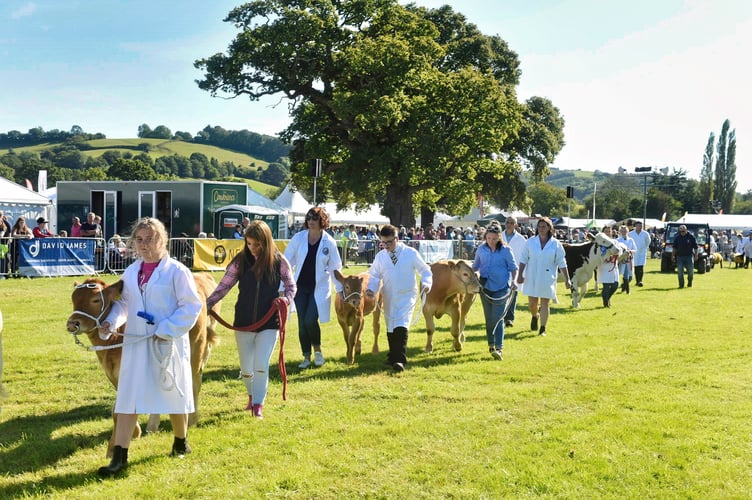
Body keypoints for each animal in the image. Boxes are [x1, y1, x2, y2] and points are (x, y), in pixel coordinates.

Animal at [65, 274, 220, 458]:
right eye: (73, 298)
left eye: (95, 299)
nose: (72, 324)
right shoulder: (113, 374)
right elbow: (119, 408)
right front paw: (134, 432)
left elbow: (117, 410)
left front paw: (112, 447)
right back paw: (152, 425)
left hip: (197, 346)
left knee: (195, 381)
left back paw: (192, 418)